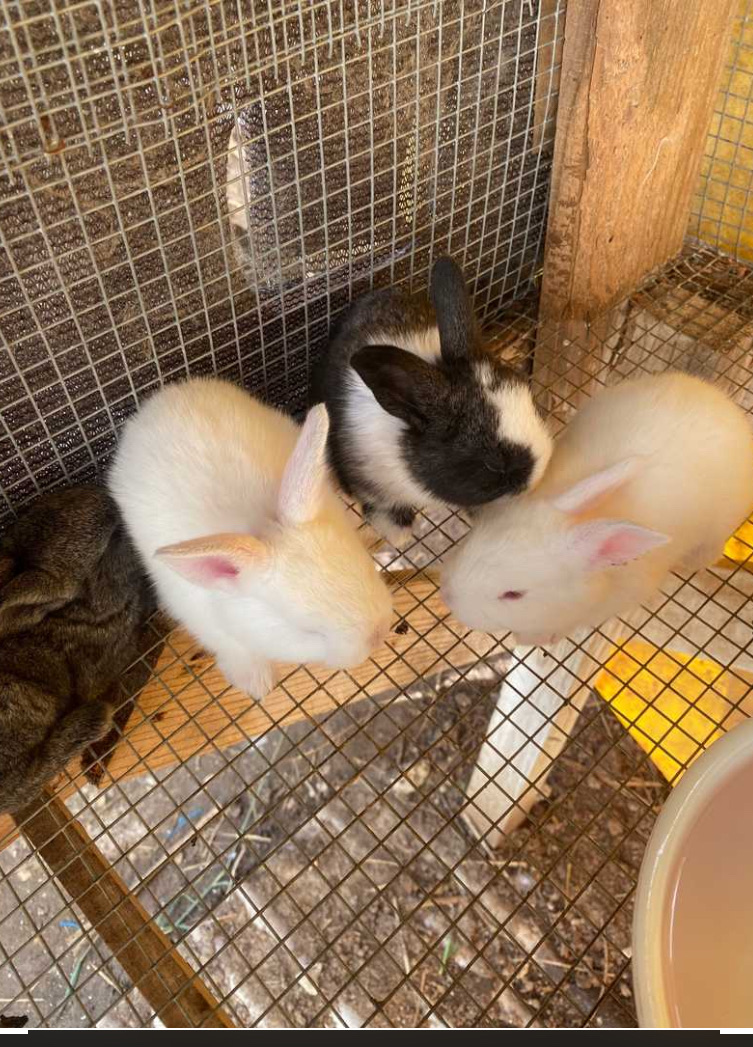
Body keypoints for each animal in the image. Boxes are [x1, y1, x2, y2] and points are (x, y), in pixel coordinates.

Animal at [108, 378, 394, 700]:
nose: (378, 634)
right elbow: (237, 651)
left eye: (365, 568)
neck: (261, 525)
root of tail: (159, 399)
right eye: (307, 631)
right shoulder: (210, 625)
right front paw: (258, 683)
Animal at [310, 255, 552, 545]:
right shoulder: (366, 480)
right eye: (493, 464)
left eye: (533, 404)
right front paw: (399, 533)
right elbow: (380, 506)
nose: (538, 475)